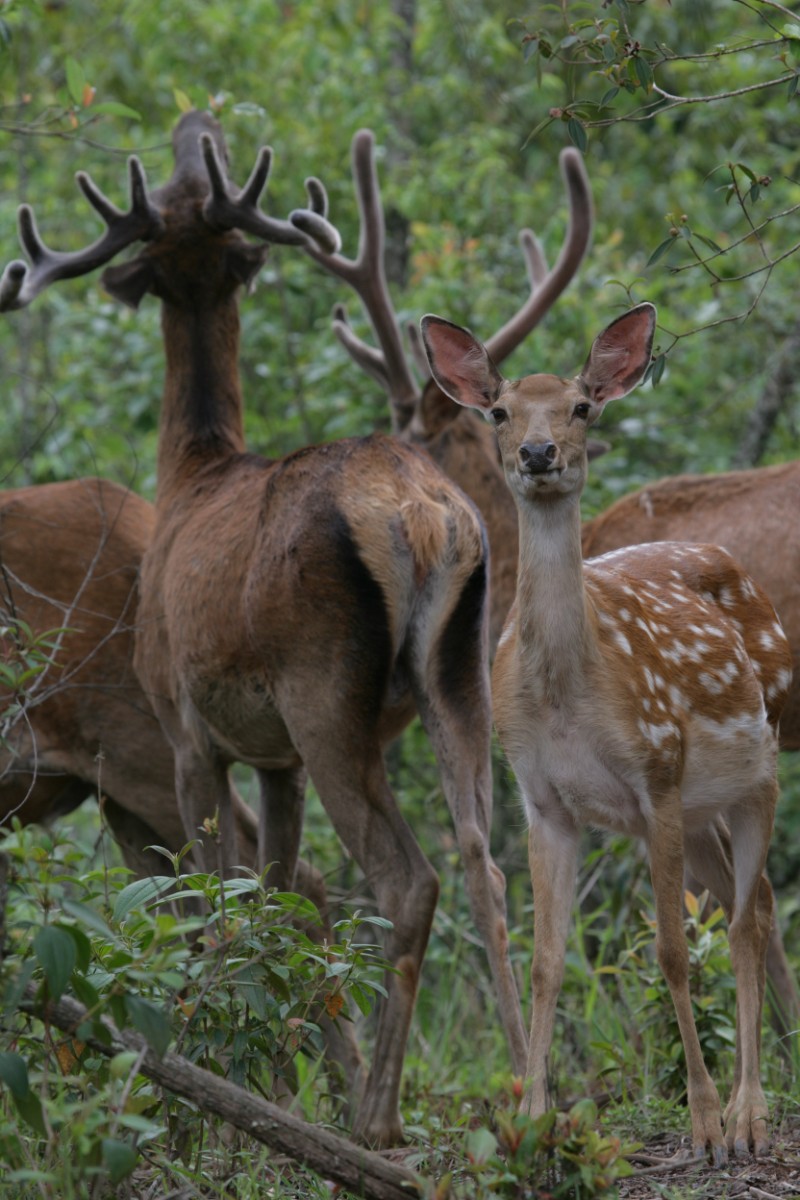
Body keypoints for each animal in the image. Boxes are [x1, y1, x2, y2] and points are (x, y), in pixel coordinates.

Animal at [1, 114, 532, 1142]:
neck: (190, 473)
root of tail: (424, 517)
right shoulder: (273, 757)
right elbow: (273, 895)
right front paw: (270, 1080)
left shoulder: (186, 727)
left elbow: (217, 907)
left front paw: (237, 1098)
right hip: (460, 674)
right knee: (484, 863)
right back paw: (539, 1101)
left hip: (315, 693)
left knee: (404, 880)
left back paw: (375, 1122)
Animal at [422, 304, 791, 1166]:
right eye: (499, 410)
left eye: (583, 406)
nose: (538, 452)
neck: (568, 697)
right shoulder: (543, 800)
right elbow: (547, 959)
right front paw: (531, 1120)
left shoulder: (655, 774)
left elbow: (671, 951)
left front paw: (702, 1123)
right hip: (702, 810)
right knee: (750, 903)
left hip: (760, 767)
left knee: (751, 918)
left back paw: (749, 1116)